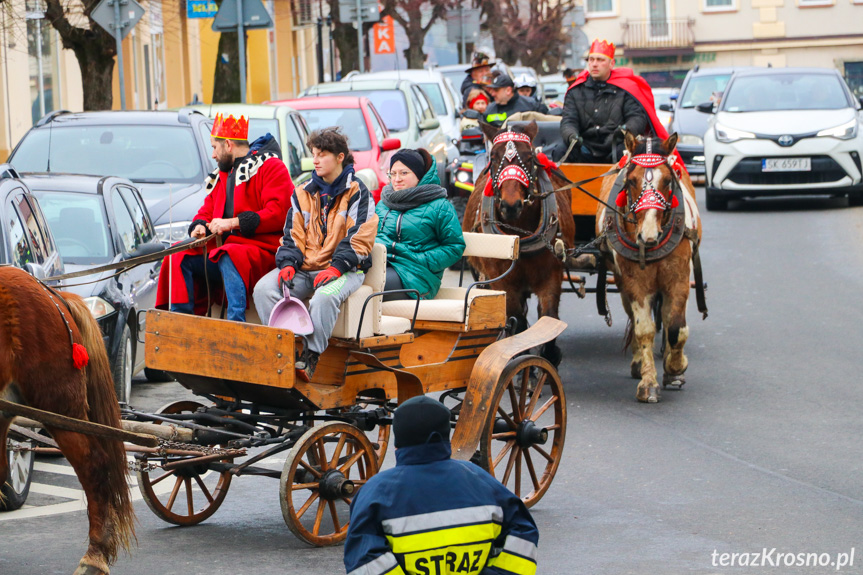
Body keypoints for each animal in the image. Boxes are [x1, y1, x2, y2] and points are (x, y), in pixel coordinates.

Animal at [466, 122, 572, 366]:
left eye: (529, 157)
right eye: (494, 157)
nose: (511, 205)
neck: (519, 237)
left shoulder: (552, 274)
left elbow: (549, 317)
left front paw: (550, 356)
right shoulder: (503, 281)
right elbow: (518, 322)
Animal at [596, 133, 704, 402]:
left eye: (667, 180)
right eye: (632, 181)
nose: (648, 236)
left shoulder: (678, 278)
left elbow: (676, 328)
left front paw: (675, 368)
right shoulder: (634, 282)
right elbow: (644, 328)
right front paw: (648, 382)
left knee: (666, 317)